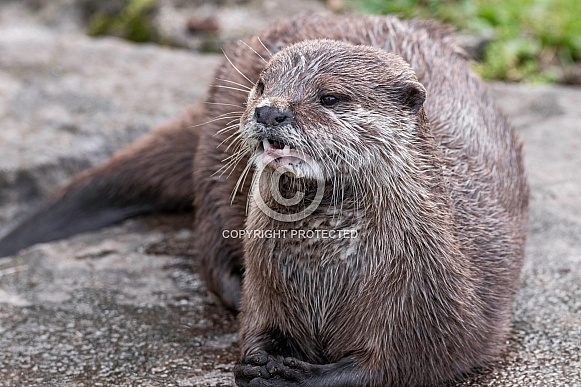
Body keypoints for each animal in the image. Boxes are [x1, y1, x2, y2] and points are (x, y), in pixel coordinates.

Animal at [0, 13, 524, 386]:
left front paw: (304, 375)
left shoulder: (429, 302)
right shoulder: (270, 277)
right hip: (214, 155)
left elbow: (403, 365)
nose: (269, 111)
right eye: (263, 85)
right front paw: (259, 356)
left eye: (330, 98)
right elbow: (258, 319)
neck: (326, 267)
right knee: (211, 243)